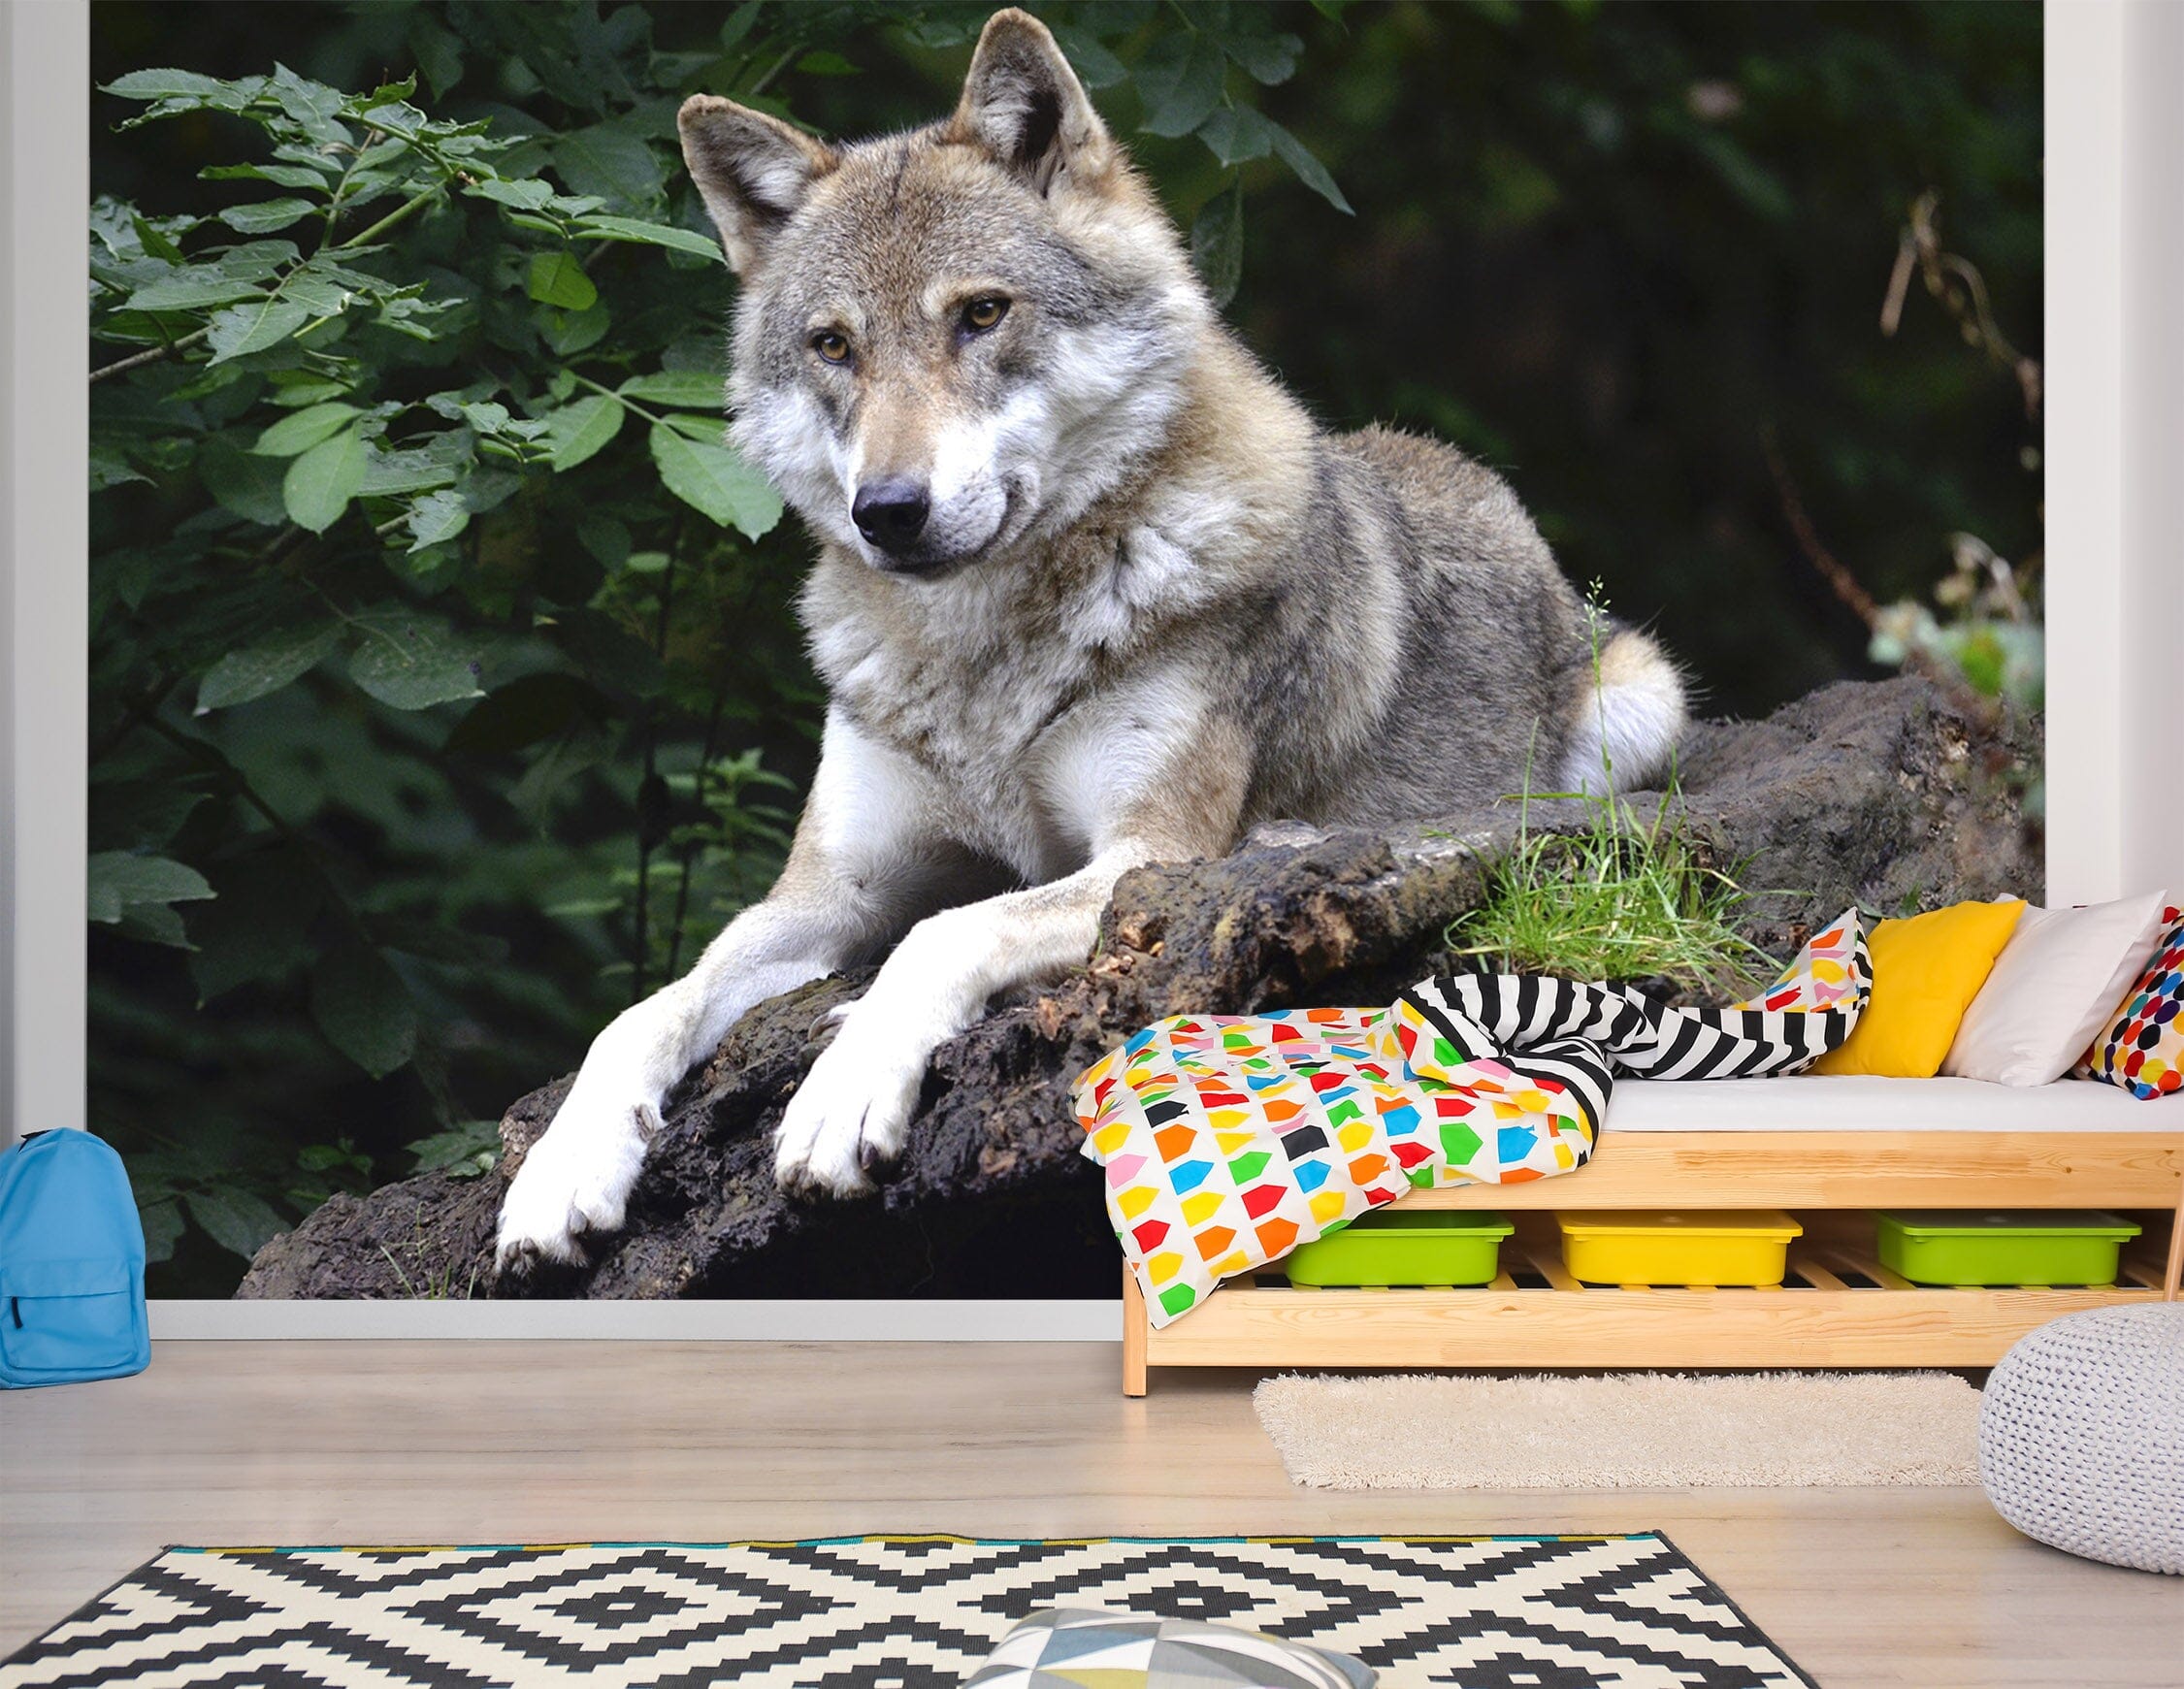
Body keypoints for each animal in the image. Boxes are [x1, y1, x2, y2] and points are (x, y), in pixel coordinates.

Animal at [494, 8, 1686, 1268]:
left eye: (980, 313)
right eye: (832, 346)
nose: (888, 511)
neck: (980, 662)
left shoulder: (1138, 858)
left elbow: (943, 932)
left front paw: (840, 1092)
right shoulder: (825, 894)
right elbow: (645, 1008)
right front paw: (561, 1170)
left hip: (1638, 706)